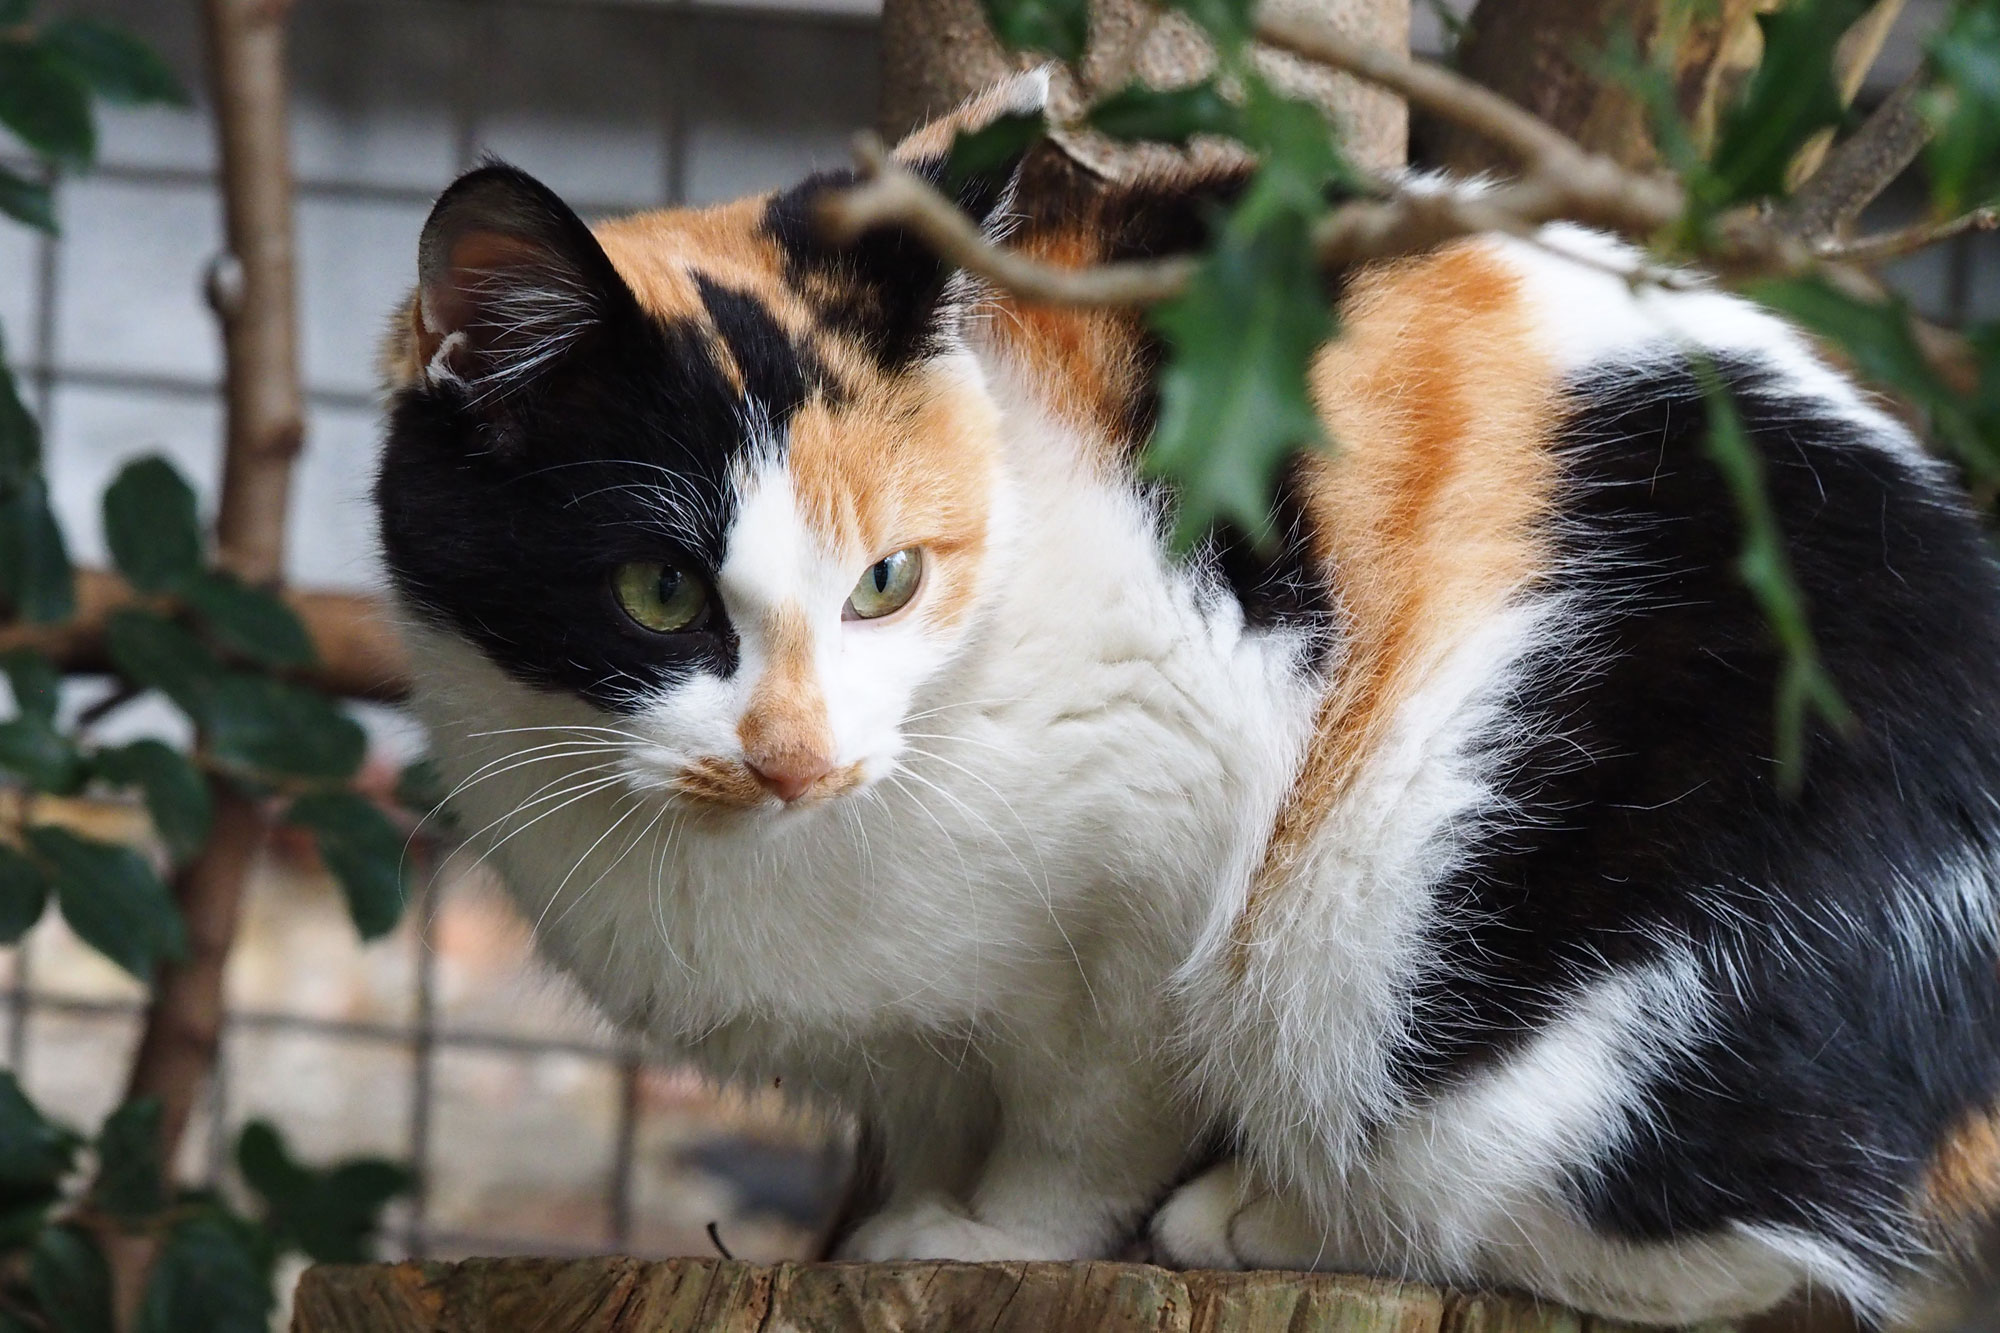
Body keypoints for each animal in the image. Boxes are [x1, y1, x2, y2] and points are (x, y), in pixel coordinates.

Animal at [382, 78, 2000, 1320]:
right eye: (660, 593)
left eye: (886, 581)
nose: (796, 754)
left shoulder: (1163, 841)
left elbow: (1087, 1116)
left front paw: (986, 1234)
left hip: (1504, 983)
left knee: (1709, 1246)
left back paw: (1270, 1214)